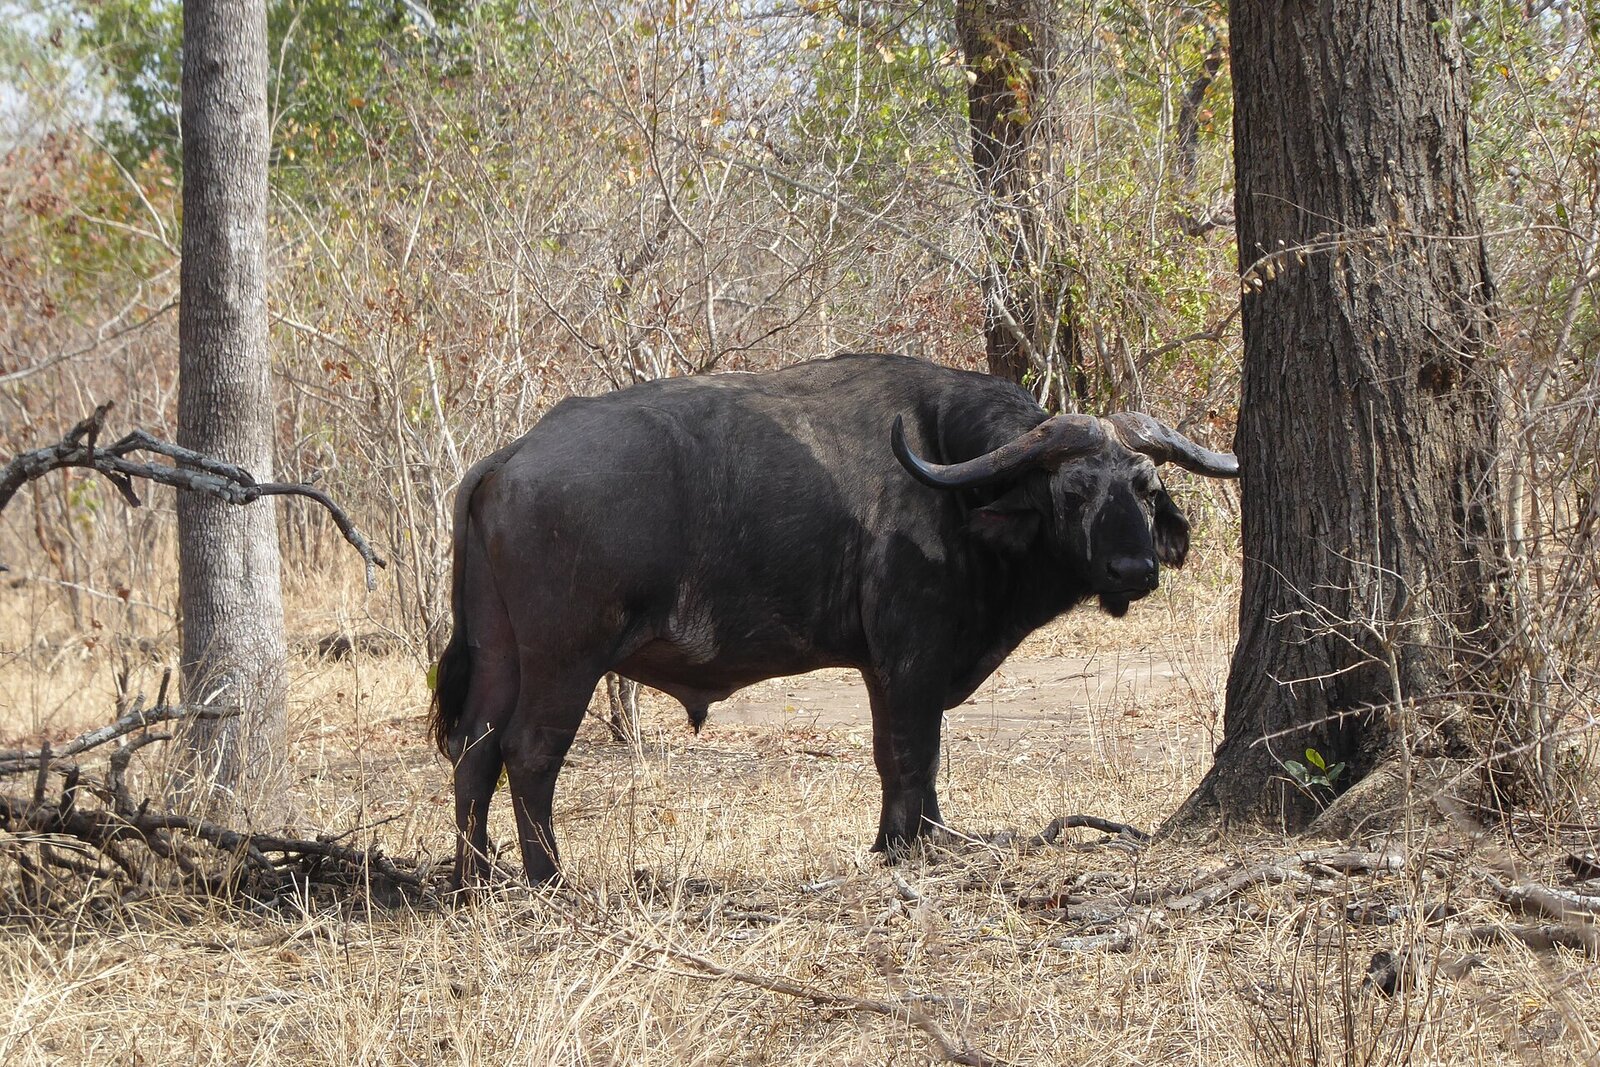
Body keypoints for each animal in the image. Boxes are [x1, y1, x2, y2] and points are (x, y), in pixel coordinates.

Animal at [431, 353, 1237, 887]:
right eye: (1073, 492)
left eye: (1146, 486)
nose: (1135, 569)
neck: (955, 484)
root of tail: (510, 458)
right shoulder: (912, 659)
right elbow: (916, 753)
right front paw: (911, 849)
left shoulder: (884, 669)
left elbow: (892, 757)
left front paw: (901, 841)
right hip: (566, 660)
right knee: (529, 752)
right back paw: (548, 878)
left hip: (500, 654)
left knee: (474, 750)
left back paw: (476, 876)